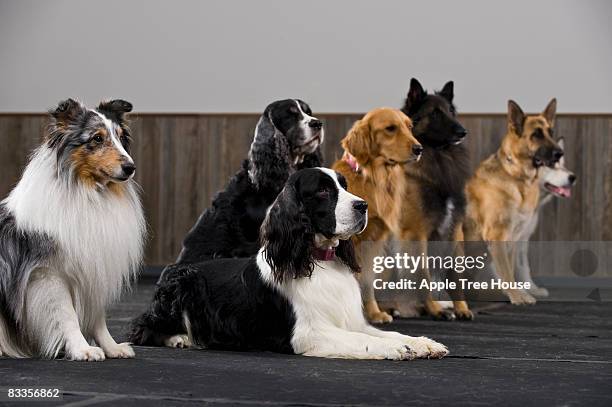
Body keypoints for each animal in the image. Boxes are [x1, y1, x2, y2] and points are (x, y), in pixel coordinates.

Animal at [129, 169, 448, 360]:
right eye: (322, 191)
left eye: (344, 185)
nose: (363, 205)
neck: (318, 259)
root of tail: (170, 270)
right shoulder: (307, 333)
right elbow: (362, 340)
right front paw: (396, 348)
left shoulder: (350, 320)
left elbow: (380, 332)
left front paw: (422, 342)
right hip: (184, 283)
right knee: (142, 327)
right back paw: (180, 338)